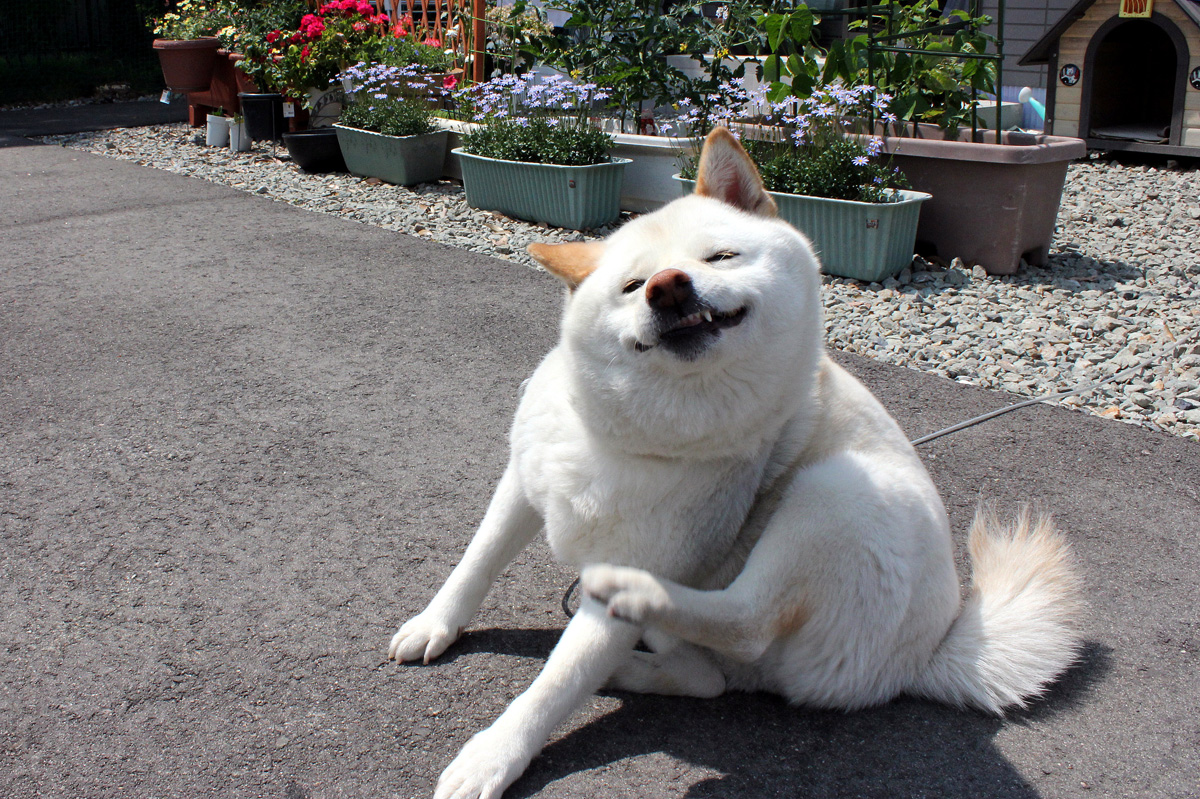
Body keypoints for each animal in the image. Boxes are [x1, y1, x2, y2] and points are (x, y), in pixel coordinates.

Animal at [388, 127, 1084, 791]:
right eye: (632, 285)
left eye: (720, 256)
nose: (669, 287)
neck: (626, 440)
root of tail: (931, 651)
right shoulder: (524, 480)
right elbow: (475, 563)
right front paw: (435, 623)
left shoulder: (643, 563)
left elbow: (555, 687)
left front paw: (496, 754)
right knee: (707, 678)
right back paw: (635, 669)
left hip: (840, 490)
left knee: (746, 621)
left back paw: (632, 599)